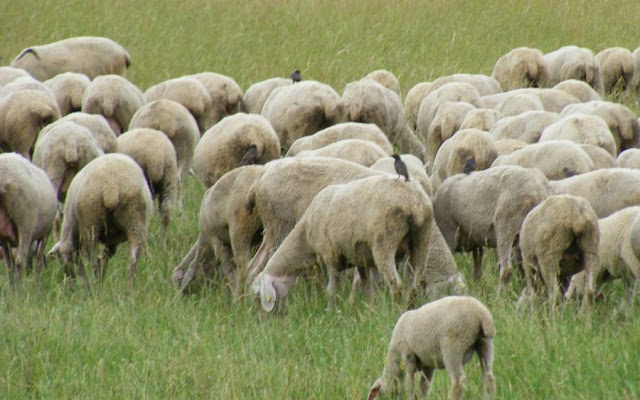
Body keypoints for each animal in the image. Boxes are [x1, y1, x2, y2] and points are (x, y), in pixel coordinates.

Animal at [0, 153, 57, 283]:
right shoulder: (45, 234)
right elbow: (38, 260)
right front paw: (36, 282)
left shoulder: (4, 240)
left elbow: (9, 265)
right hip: (25, 223)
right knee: (20, 260)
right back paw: (21, 286)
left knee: (12, 264)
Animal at [48, 154, 152, 286]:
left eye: (60, 259)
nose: (69, 281)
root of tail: (111, 187)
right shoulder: (110, 241)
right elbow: (105, 258)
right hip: (135, 219)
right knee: (133, 259)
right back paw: (131, 286)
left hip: (90, 222)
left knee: (92, 260)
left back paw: (95, 284)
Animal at [172, 165, 267, 296]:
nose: (178, 295)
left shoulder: (216, 241)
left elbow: (228, 268)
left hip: (240, 228)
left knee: (243, 266)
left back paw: (240, 295)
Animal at [252, 175, 433, 309]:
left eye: (258, 297)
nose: (262, 322)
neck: (305, 239)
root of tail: (413, 201)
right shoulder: (361, 259)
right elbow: (367, 287)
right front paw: (371, 310)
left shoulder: (329, 255)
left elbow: (332, 289)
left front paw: (331, 311)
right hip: (422, 239)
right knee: (413, 284)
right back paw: (409, 308)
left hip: (384, 240)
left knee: (396, 284)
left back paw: (395, 310)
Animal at [367, 296, 495, 400]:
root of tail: (481, 314)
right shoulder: (428, 364)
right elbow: (424, 386)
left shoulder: (409, 356)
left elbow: (410, 384)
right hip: (485, 344)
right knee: (489, 377)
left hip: (453, 347)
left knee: (458, 381)